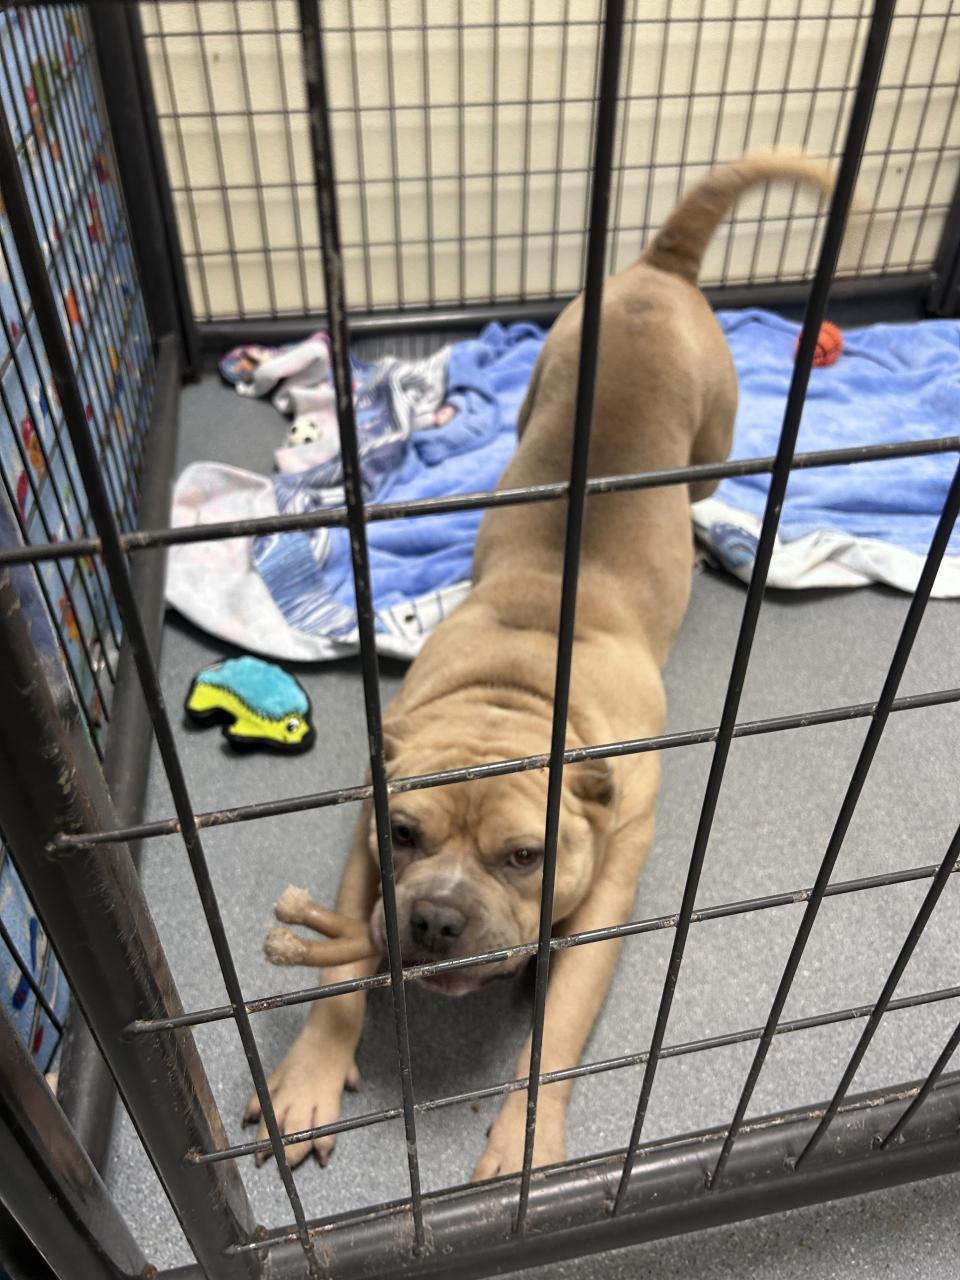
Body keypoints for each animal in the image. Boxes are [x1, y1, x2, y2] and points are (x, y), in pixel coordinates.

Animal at [245, 153, 835, 1180]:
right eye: (405, 834)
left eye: (526, 856)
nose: (435, 921)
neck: (518, 698)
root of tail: (661, 269)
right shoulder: (363, 843)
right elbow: (344, 970)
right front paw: (312, 1072)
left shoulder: (606, 898)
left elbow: (556, 1032)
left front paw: (524, 1139)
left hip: (717, 437)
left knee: (707, 481)